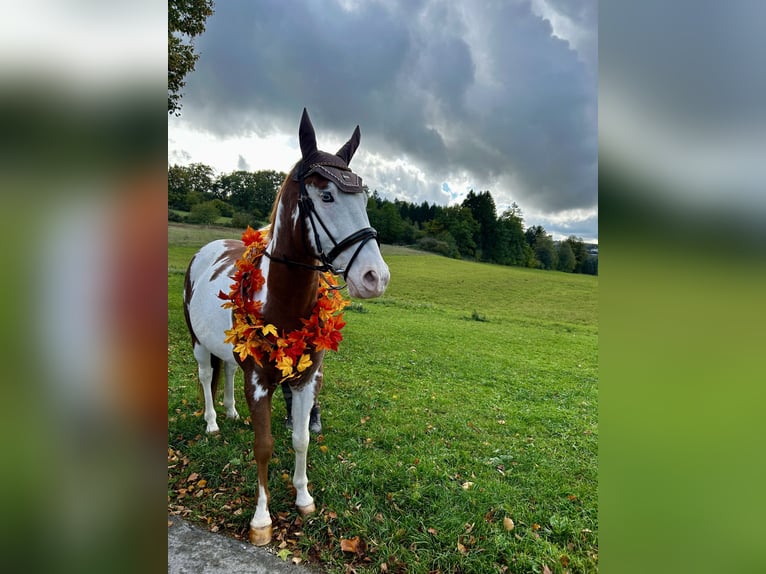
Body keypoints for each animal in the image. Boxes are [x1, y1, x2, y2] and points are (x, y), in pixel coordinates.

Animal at [183, 109, 390, 545]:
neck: (281, 301)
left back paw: (230, 411)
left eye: (363, 198)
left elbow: (301, 437)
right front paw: (261, 519)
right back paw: (212, 422)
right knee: (207, 374)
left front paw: (303, 498)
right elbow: (264, 445)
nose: (375, 277)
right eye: (326, 196)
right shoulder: (259, 382)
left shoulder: (306, 379)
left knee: (227, 371)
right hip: (197, 343)